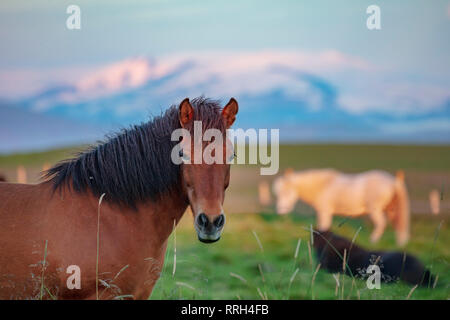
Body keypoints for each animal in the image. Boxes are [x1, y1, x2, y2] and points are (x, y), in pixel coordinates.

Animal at [272, 170, 410, 245]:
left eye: (287, 192)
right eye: (277, 193)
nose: (281, 210)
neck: (322, 186)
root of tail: (395, 181)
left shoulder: (325, 212)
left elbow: (324, 227)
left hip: (375, 209)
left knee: (381, 223)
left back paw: (373, 240)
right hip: (391, 209)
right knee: (398, 224)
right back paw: (400, 243)